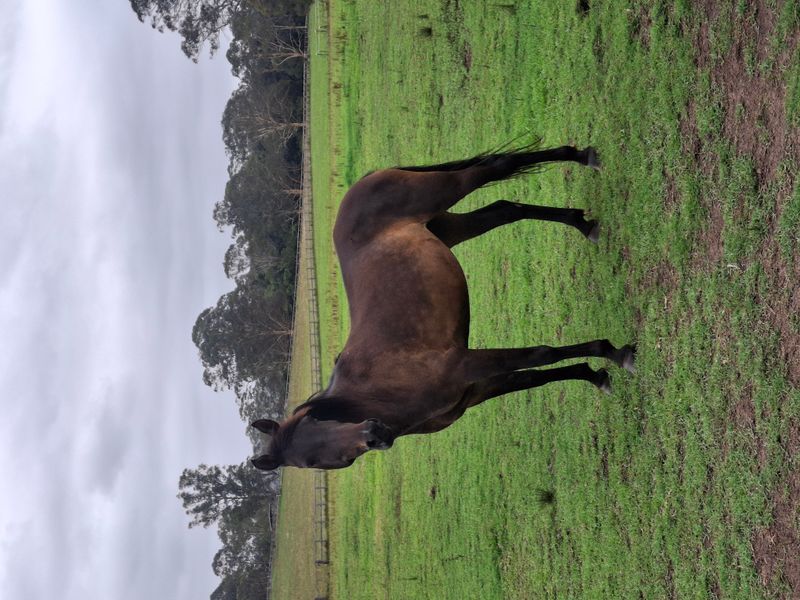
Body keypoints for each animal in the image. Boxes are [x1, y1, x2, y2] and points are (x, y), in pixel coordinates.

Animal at [251, 143, 635, 470]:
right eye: (314, 462)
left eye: (319, 419)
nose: (373, 436)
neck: (381, 390)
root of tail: (359, 187)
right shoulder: (480, 387)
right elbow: (537, 376)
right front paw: (594, 374)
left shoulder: (467, 364)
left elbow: (542, 354)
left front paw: (615, 354)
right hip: (448, 226)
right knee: (506, 208)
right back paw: (582, 222)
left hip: (444, 189)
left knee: (498, 167)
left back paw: (583, 158)